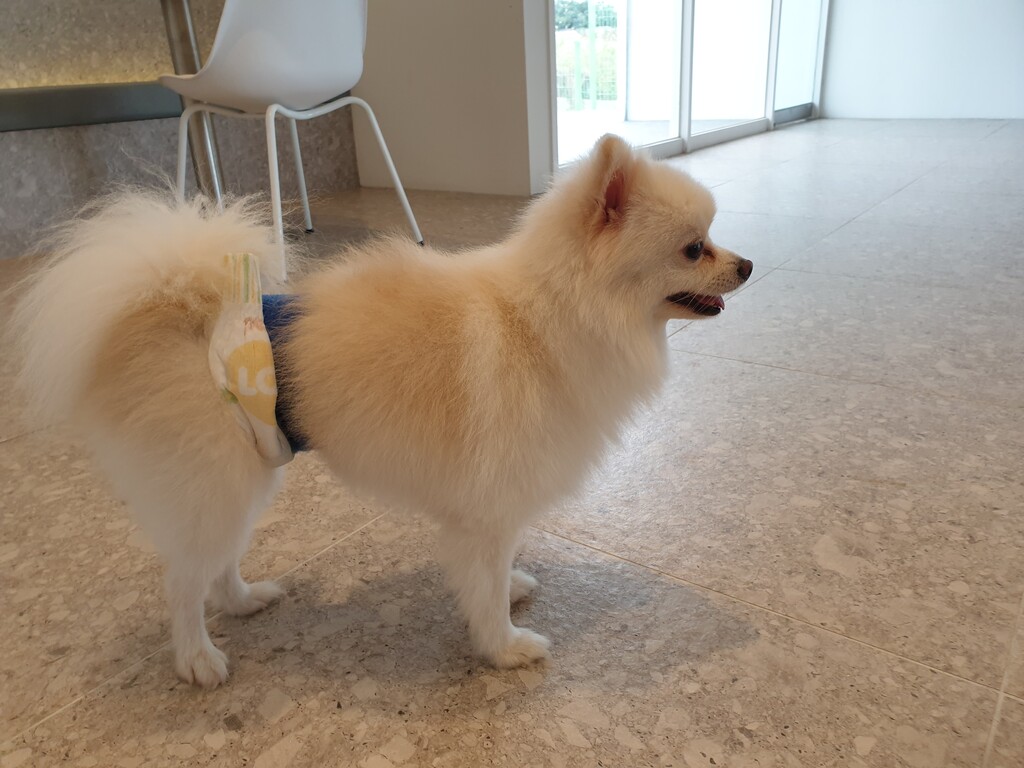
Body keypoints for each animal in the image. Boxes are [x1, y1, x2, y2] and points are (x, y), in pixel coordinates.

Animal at [13, 135, 752, 687]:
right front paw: (505, 646)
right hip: (215, 483)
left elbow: (495, 569)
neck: (548, 318)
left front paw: (510, 589)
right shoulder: (490, 504)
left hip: (247, 474)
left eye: (713, 239)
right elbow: (483, 585)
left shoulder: (494, 506)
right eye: (695, 248)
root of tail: (177, 313)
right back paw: (196, 657)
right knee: (181, 581)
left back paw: (245, 602)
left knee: (214, 566)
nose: (746, 265)